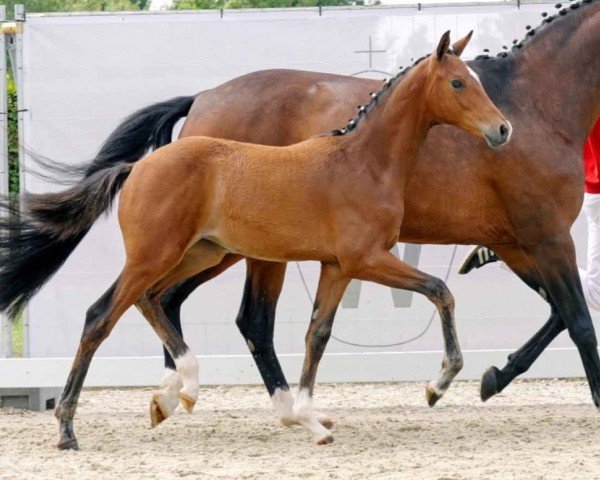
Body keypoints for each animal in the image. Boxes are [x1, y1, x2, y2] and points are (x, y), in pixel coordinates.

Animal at [0, 31, 508, 448]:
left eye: (475, 79)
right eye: (458, 83)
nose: (502, 129)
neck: (363, 162)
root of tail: (137, 167)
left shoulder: (337, 267)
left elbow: (317, 335)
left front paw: (311, 420)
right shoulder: (366, 259)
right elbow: (440, 290)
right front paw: (438, 384)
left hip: (199, 254)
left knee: (153, 299)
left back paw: (181, 389)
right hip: (156, 255)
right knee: (101, 315)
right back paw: (70, 427)